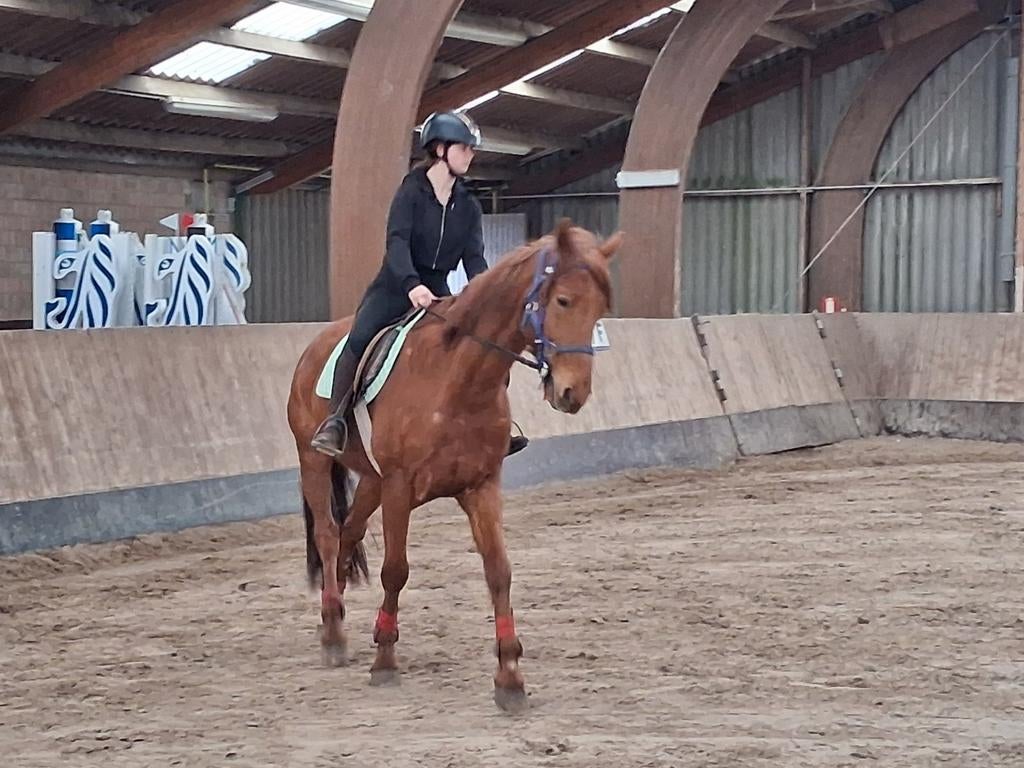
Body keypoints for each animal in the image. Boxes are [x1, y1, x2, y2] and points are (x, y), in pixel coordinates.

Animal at [286, 218, 623, 711]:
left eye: (600, 308)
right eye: (563, 300)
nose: (572, 393)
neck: (459, 382)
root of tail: (314, 346)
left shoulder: (480, 486)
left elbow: (499, 572)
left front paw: (510, 676)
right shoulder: (400, 487)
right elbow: (396, 570)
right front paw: (384, 659)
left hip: (371, 481)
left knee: (349, 533)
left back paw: (336, 615)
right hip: (315, 461)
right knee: (329, 536)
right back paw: (332, 632)